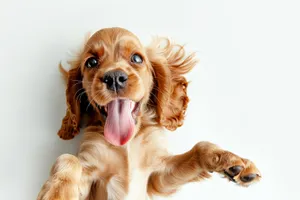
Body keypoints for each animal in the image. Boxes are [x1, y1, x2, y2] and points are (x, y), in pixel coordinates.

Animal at [37, 27, 262, 200]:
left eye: (137, 58)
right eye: (91, 62)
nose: (114, 77)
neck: (125, 145)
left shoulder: (159, 175)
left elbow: (200, 147)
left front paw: (233, 162)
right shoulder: (90, 176)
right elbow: (67, 158)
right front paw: (57, 192)